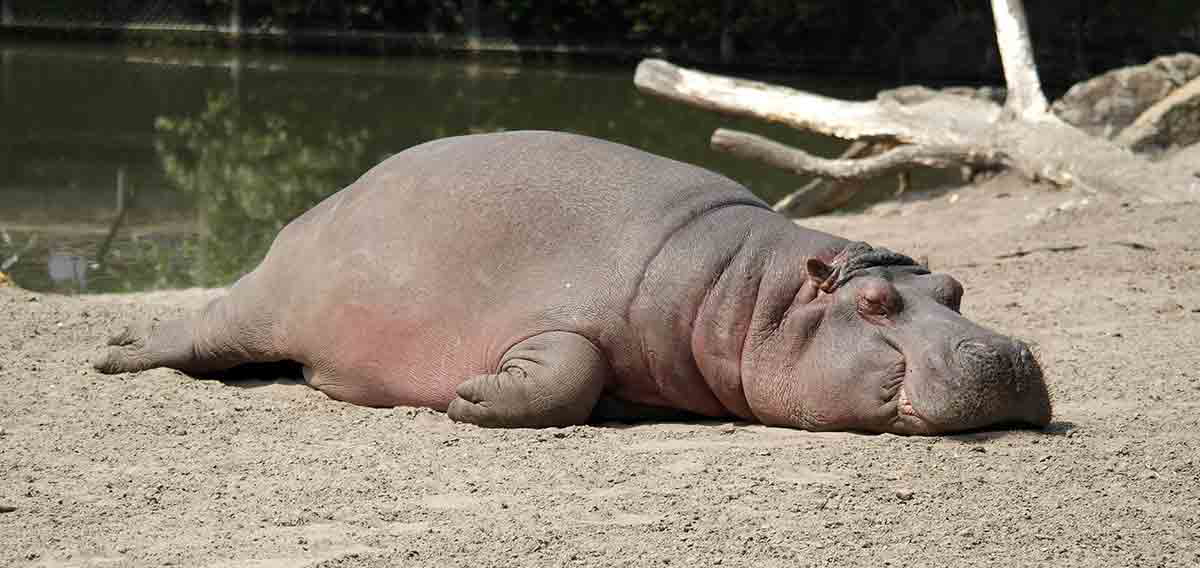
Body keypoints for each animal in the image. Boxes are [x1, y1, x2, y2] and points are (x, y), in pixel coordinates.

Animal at [95, 131, 1051, 434]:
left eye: (957, 288)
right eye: (875, 303)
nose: (1005, 355)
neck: (750, 293)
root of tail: (310, 211)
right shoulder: (554, 320)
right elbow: (569, 368)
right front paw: (471, 398)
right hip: (262, 307)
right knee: (198, 332)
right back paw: (113, 353)